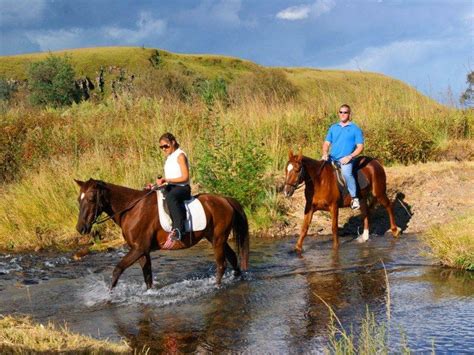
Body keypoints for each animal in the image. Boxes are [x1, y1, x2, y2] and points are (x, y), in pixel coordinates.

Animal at [75, 179, 248, 290]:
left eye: (91, 198)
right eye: (79, 199)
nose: (80, 228)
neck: (132, 209)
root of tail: (225, 200)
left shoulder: (138, 249)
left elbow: (117, 270)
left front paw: (109, 295)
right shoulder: (142, 251)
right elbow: (147, 277)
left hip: (218, 240)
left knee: (221, 264)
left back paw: (216, 286)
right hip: (215, 238)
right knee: (232, 257)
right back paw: (238, 278)